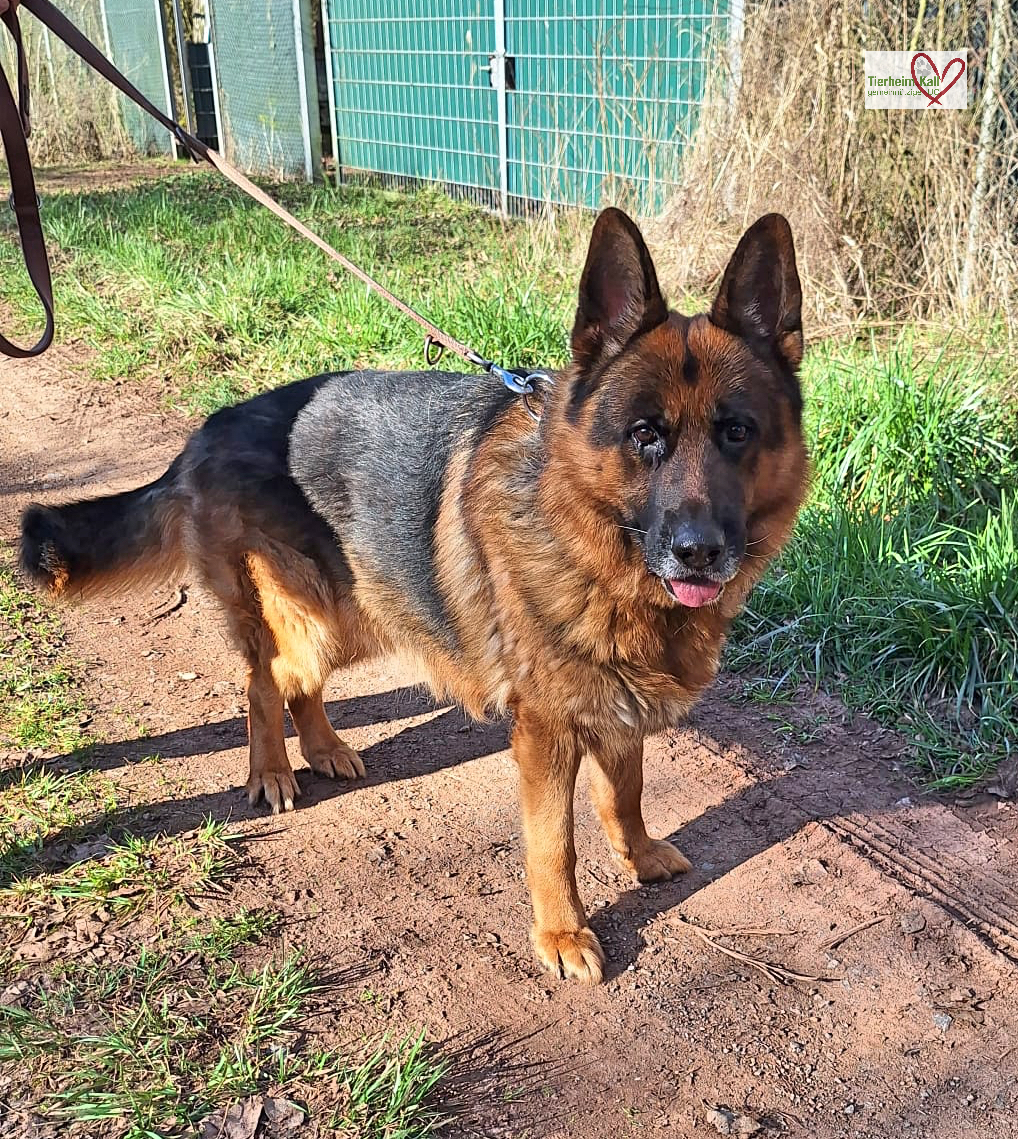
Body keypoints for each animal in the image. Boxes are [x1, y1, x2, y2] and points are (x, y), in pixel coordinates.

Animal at [20, 208, 808, 983]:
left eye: (737, 432)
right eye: (645, 435)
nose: (700, 552)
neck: (589, 537)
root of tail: (207, 430)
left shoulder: (616, 707)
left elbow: (628, 791)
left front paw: (638, 854)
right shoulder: (548, 732)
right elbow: (554, 842)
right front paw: (561, 931)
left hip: (350, 613)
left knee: (297, 683)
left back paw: (325, 748)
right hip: (307, 615)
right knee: (263, 681)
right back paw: (271, 768)